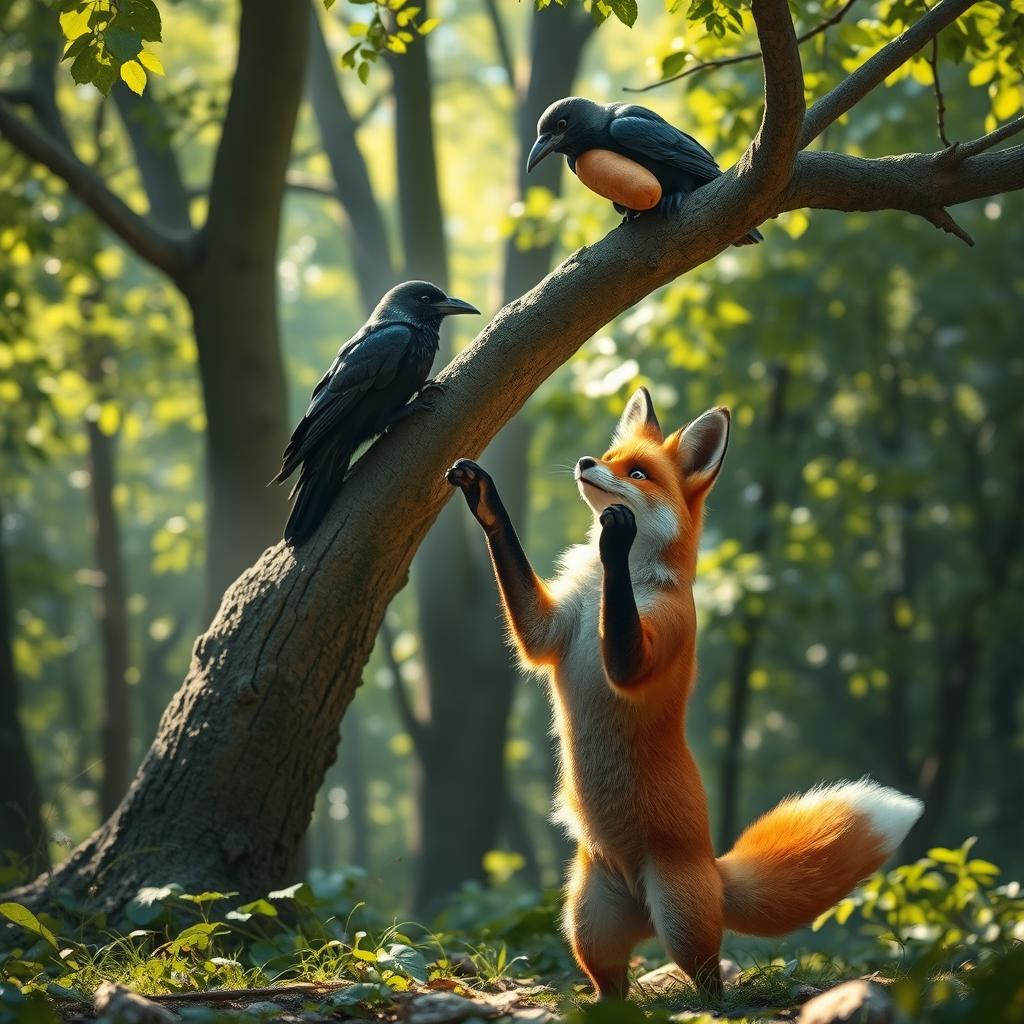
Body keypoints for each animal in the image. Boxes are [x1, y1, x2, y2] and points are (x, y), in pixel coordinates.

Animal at [445, 386, 924, 998]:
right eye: (610, 455)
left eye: (639, 472)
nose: (586, 462)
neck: (609, 590)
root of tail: (711, 874)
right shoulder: (549, 630)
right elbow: (522, 593)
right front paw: (485, 498)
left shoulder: (654, 640)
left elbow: (625, 647)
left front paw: (616, 538)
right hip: (586, 921)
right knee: (614, 988)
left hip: (680, 919)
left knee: (711, 983)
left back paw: (711, 999)